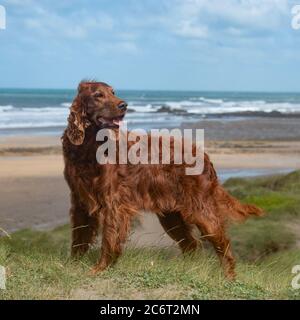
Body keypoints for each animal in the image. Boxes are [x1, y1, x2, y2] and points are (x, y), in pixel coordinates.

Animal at [61, 81, 262, 278]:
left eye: (113, 92)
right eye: (98, 95)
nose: (123, 105)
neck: (88, 148)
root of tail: (204, 156)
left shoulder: (114, 203)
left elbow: (109, 238)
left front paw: (101, 268)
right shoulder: (80, 201)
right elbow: (78, 237)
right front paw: (72, 265)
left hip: (200, 210)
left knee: (223, 243)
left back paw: (229, 277)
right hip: (171, 215)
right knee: (191, 244)